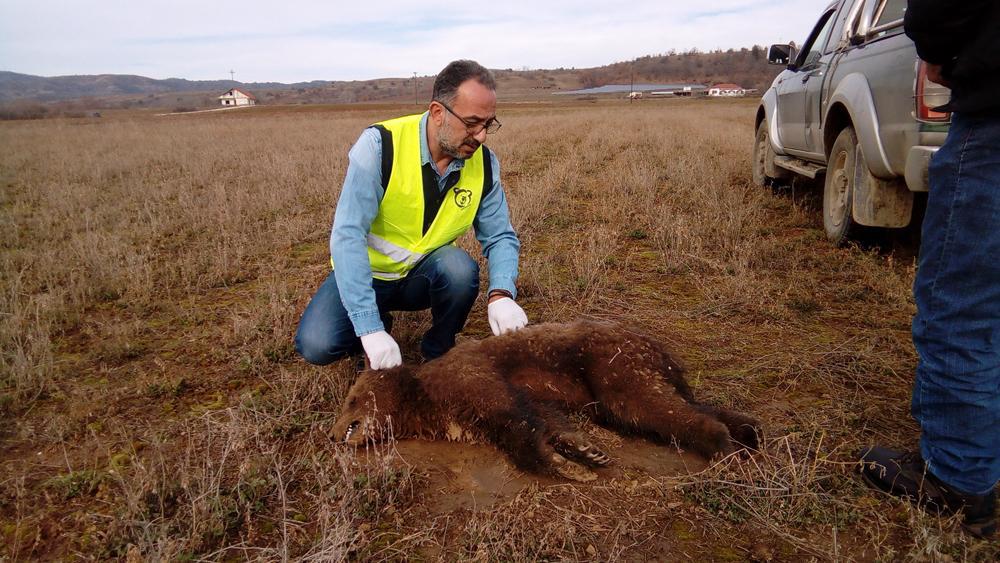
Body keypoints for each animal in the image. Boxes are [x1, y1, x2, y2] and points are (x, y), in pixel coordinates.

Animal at [332, 322, 760, 480]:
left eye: (351, 400)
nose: (334, 434)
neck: (423, 398)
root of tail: (656, 347)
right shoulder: (476, 412)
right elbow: (545, 418)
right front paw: (584, 452)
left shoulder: (472, 380)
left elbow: (517, 425)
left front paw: (564, 464)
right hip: (635, 377)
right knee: (673, 404)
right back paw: (748, 431)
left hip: (614, 365)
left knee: (653, 407)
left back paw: (723, 446)